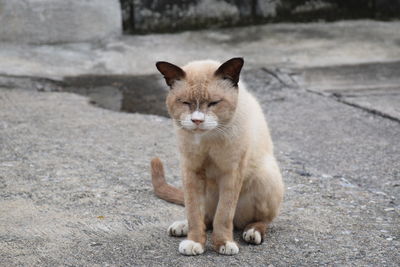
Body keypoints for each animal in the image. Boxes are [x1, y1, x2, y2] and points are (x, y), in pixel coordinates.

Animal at [151, 59, 284, 258]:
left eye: (213, 103)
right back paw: (182, 227)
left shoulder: (231, 172)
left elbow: (223, 215)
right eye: (185, 103)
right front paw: (194, 242)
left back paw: (252, 232)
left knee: (259, 220)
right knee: (205, 217)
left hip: (265, 176)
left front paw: (223, 244)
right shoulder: (191, 170)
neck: (207, 138)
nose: (197, 120)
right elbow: (194, 213)